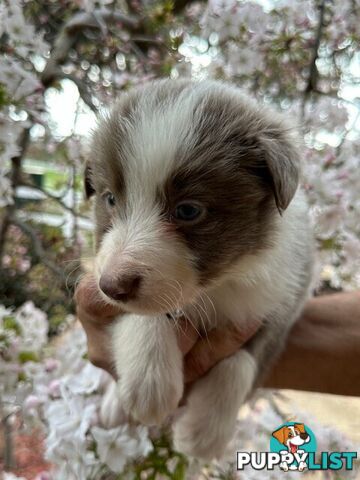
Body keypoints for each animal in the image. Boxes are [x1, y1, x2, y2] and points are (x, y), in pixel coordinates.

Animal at [83, 79, 312, 462]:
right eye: (110, 199)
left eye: (188, 210)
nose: (111, 285)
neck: (214, 288)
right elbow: (141, 312)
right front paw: (149, 381)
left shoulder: (286, 297)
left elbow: (242, 359)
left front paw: (205, 431)